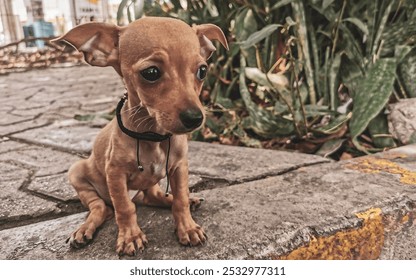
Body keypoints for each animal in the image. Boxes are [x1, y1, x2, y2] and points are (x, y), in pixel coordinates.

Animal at [52, 17, 228, 256]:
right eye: (151, 73)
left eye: (202, 71)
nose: (195, 118)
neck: (153, 137)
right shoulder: (115, 174)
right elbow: (125, 208)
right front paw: (130, 237)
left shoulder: (179, 167)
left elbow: (180, 200)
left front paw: (188, 227)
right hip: (77, 173)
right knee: (101, 208)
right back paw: (84, 230)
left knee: (152, 196)